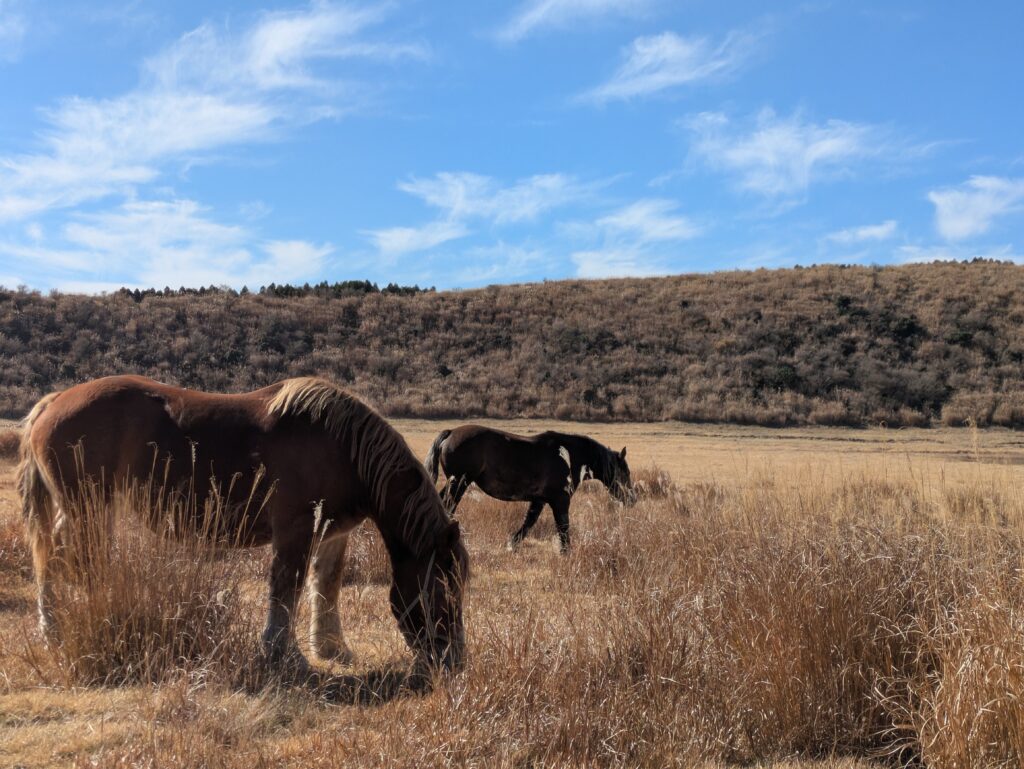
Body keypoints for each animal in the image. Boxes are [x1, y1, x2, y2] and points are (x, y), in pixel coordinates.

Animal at [17, 375, 468, 676]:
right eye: (442, 588)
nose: (454, 661)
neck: (344, 447)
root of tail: (53, 403)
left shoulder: (332, 535)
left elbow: (326, 587)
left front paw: (332, 648)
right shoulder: (295, 532)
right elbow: (285, 590)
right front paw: (284, 655)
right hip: (88, 510)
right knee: (63, 564)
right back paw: (59, 629)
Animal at [425, 425, 634, 551]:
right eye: (625, 473)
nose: (632, 499)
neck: (568, 456)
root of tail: (451, 432)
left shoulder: (539, 500)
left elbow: (529, 522)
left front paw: (512, 544)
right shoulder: (560, 500)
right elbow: (563, 526)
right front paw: (566, 551)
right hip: (459, 483)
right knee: (448, 506)